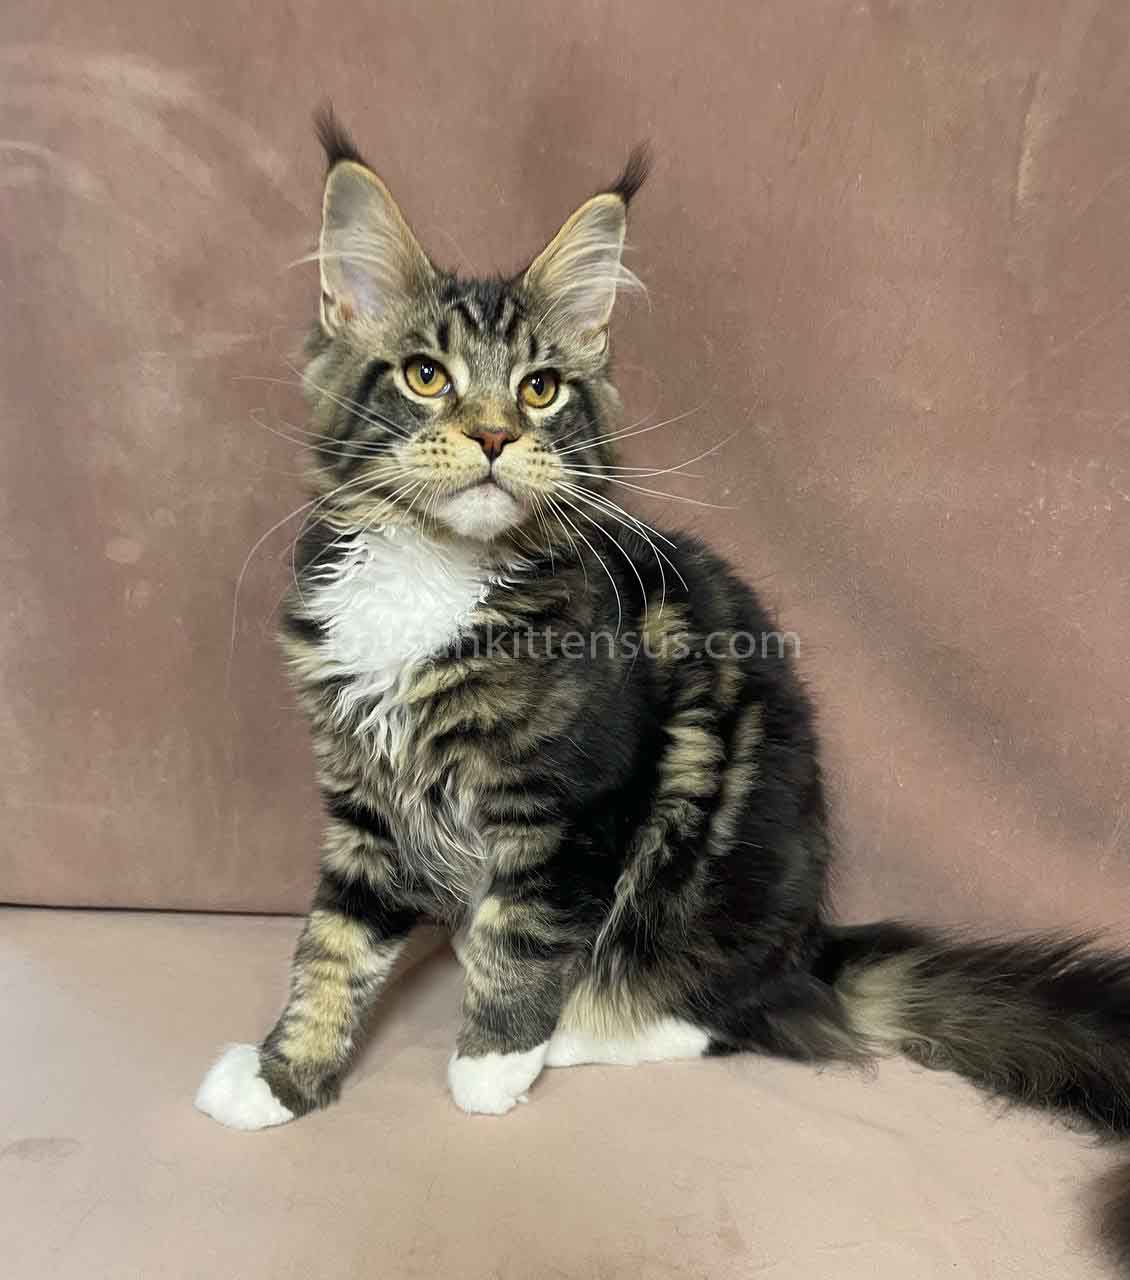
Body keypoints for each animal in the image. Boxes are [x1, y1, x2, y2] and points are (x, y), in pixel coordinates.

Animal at [196, 110, 1130, 1264]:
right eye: (423, 376)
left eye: (541, 388)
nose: (497, 436)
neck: (434, 577)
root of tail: (810, 944)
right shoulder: (364, 801)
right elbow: (331, 947)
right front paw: (282, 1077)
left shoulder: (577, 799)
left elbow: (520, 935)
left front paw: (491, 1062)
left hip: (703, 853)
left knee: (730, 1015)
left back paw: (575, 1031)